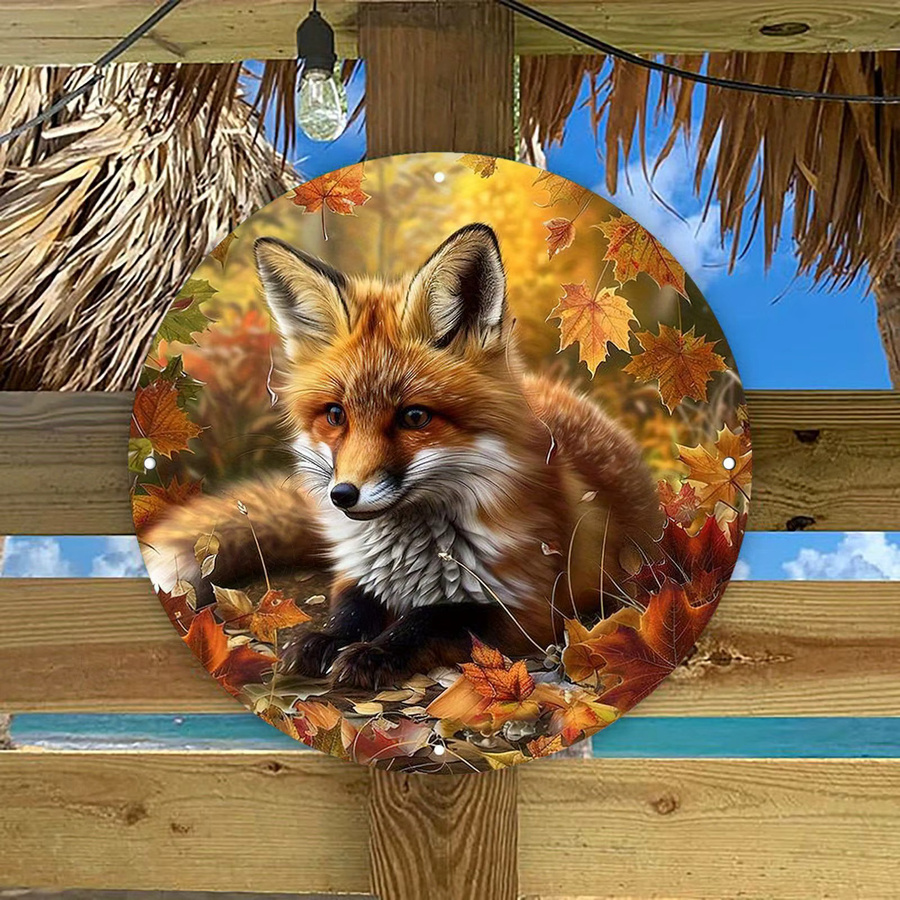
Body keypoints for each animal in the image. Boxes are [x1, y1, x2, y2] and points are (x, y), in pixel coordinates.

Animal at [143, 223, 664, 690]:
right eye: (335, 415)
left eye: (414, 417)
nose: (342, 495)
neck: (412, 558)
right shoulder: (357, 573)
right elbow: (350, 612)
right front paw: (321, 641)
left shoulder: (529, 607)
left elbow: (433, 620)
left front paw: (374, 654)